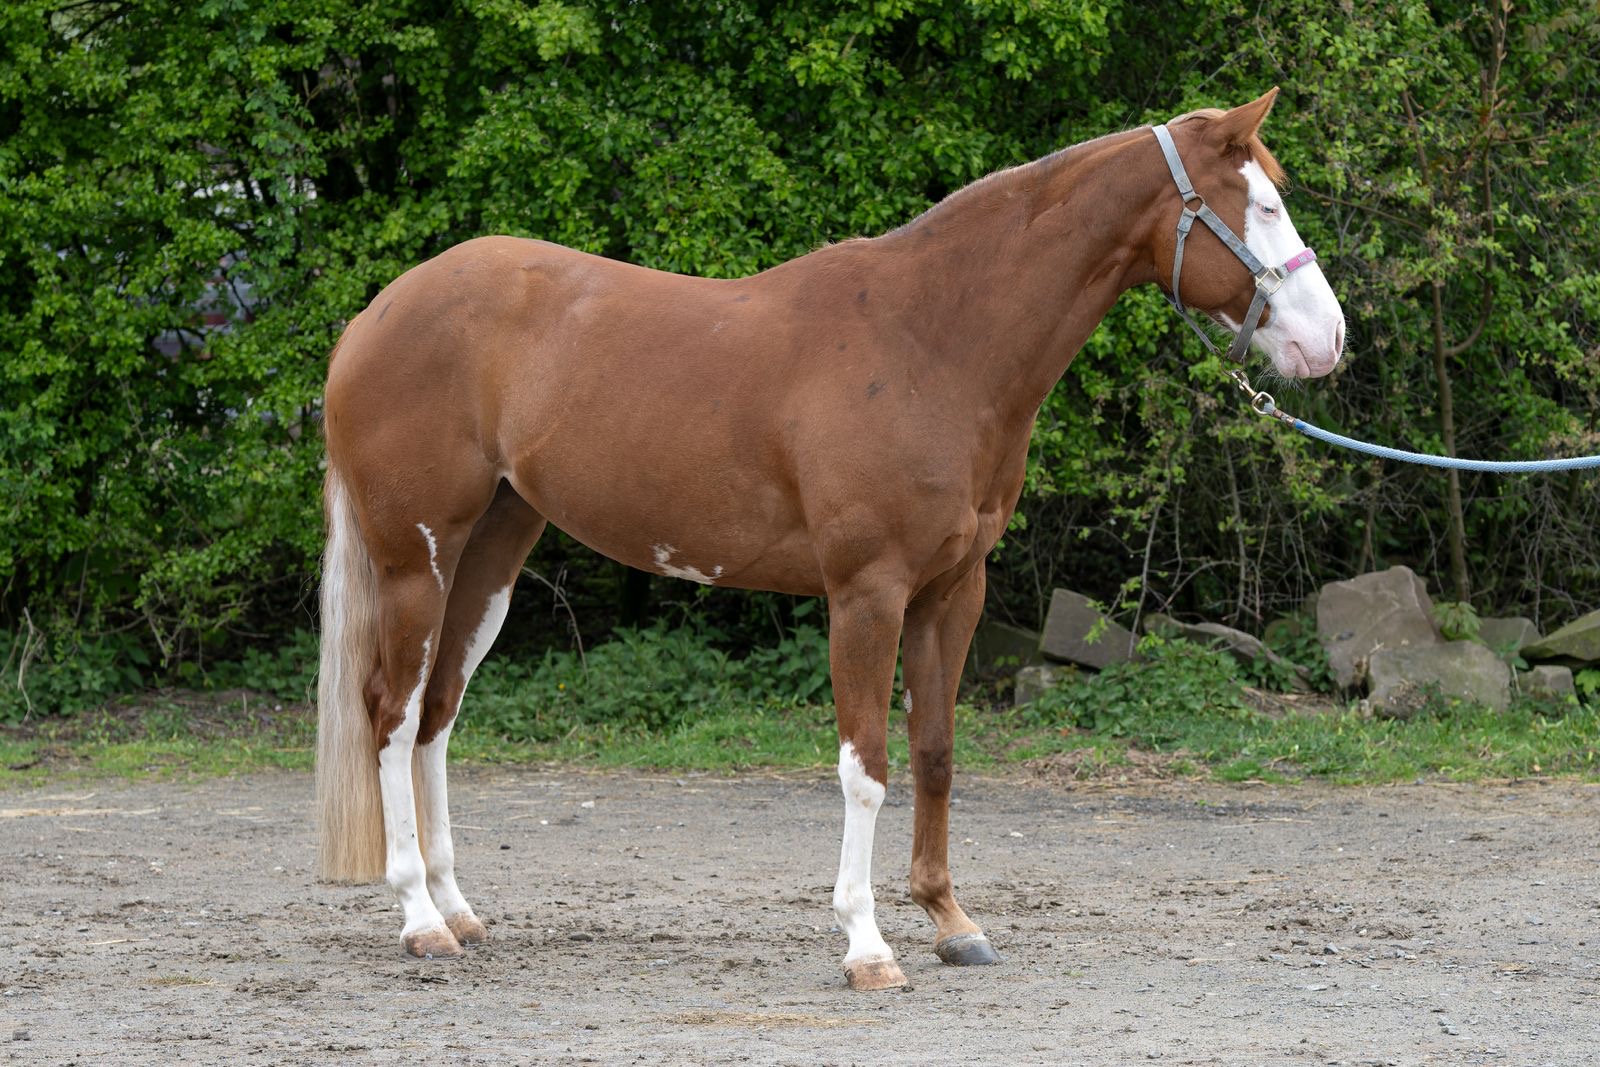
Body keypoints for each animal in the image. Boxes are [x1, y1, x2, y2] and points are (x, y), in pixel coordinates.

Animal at [315, 87, 1345, 991]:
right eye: (1261, 203)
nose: (1329, 341)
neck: (933, 341)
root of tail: (374, 314)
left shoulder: (953, 590)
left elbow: (934, 750)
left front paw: (952, 923)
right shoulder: (867, 592)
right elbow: (866, 768)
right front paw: (867, 946)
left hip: (491, 555)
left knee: (439, 713)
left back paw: (458, 910)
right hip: (416, 560)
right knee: (392, 712)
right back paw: (419, 919)